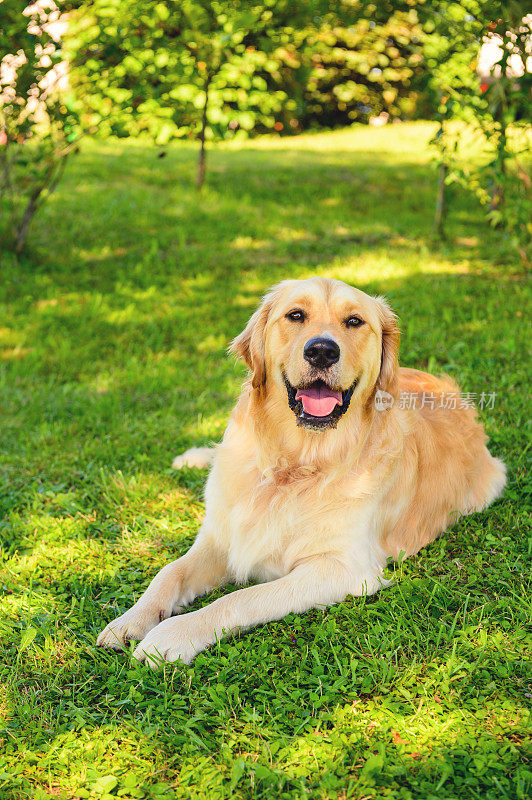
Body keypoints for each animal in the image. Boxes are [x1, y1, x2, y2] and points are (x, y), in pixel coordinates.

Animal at [96, 278, 508, 664]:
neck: (294, 463)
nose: (322, 350)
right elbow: (168, 572)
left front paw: (171, 635)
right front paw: (131, 620)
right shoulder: (221, 537)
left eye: (354, 321)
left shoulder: (343, 568)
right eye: (296, 315)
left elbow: (241, 597)